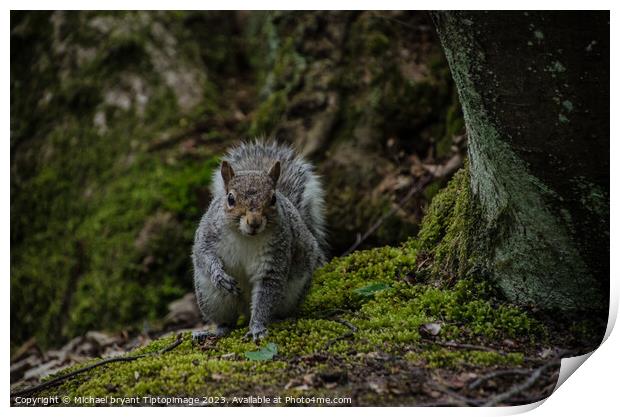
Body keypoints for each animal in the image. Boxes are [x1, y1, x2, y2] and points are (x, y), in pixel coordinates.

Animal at [191, 141, 326, 342]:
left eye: (273, 198)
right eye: (230, 198)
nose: (254, 222)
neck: (245, 236)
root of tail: (245, 309)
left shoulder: (275, 256)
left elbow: (264, 298)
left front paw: (257, 328)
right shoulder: (208, 235)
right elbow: (204, 255)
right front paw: (219, 275)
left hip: (292, 293)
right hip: (211, 298)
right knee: (226, 321)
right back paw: (214, 331)